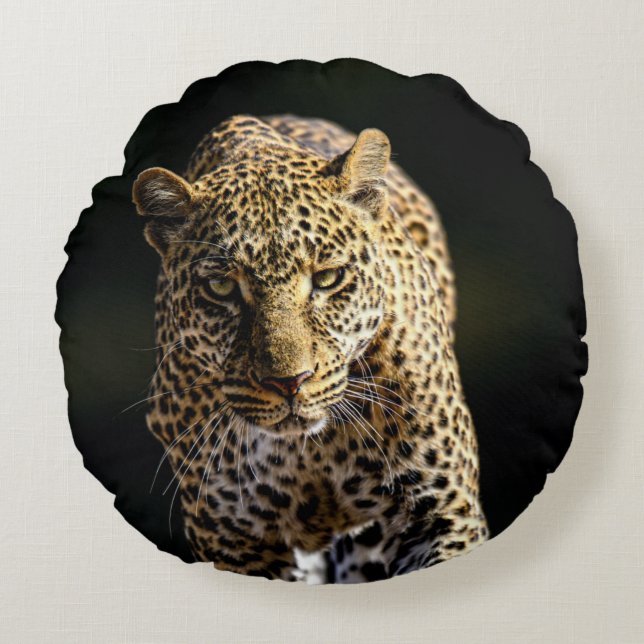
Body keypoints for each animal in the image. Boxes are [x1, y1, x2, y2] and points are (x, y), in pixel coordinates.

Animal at [131, 113, 488, 583]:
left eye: (327, 278)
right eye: (222, 287)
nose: (289, 383)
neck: (313, 451)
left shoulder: (442, 511)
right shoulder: (234, 541)